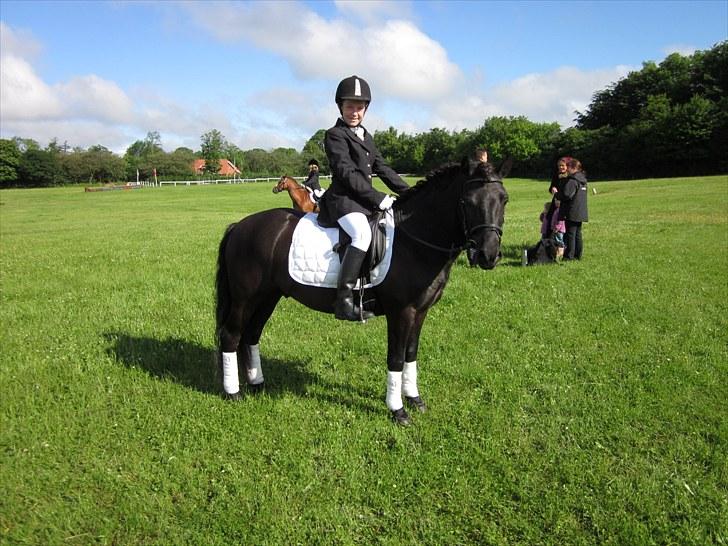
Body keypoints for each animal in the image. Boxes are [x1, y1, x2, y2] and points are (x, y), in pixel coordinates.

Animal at [219, 159, 510, 422]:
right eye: (467, 202)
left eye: (504, 199)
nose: (488, 255)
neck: (413, 241)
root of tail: (240, 226)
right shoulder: (401, 312)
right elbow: (395, 358)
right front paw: (398, 410)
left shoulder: (420, 311)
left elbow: (411, 354)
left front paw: (415, 399)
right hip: (245, 299)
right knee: (231, 336)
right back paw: (233, 393)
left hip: (268, 297)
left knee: (251, 336)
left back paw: (257, 384)